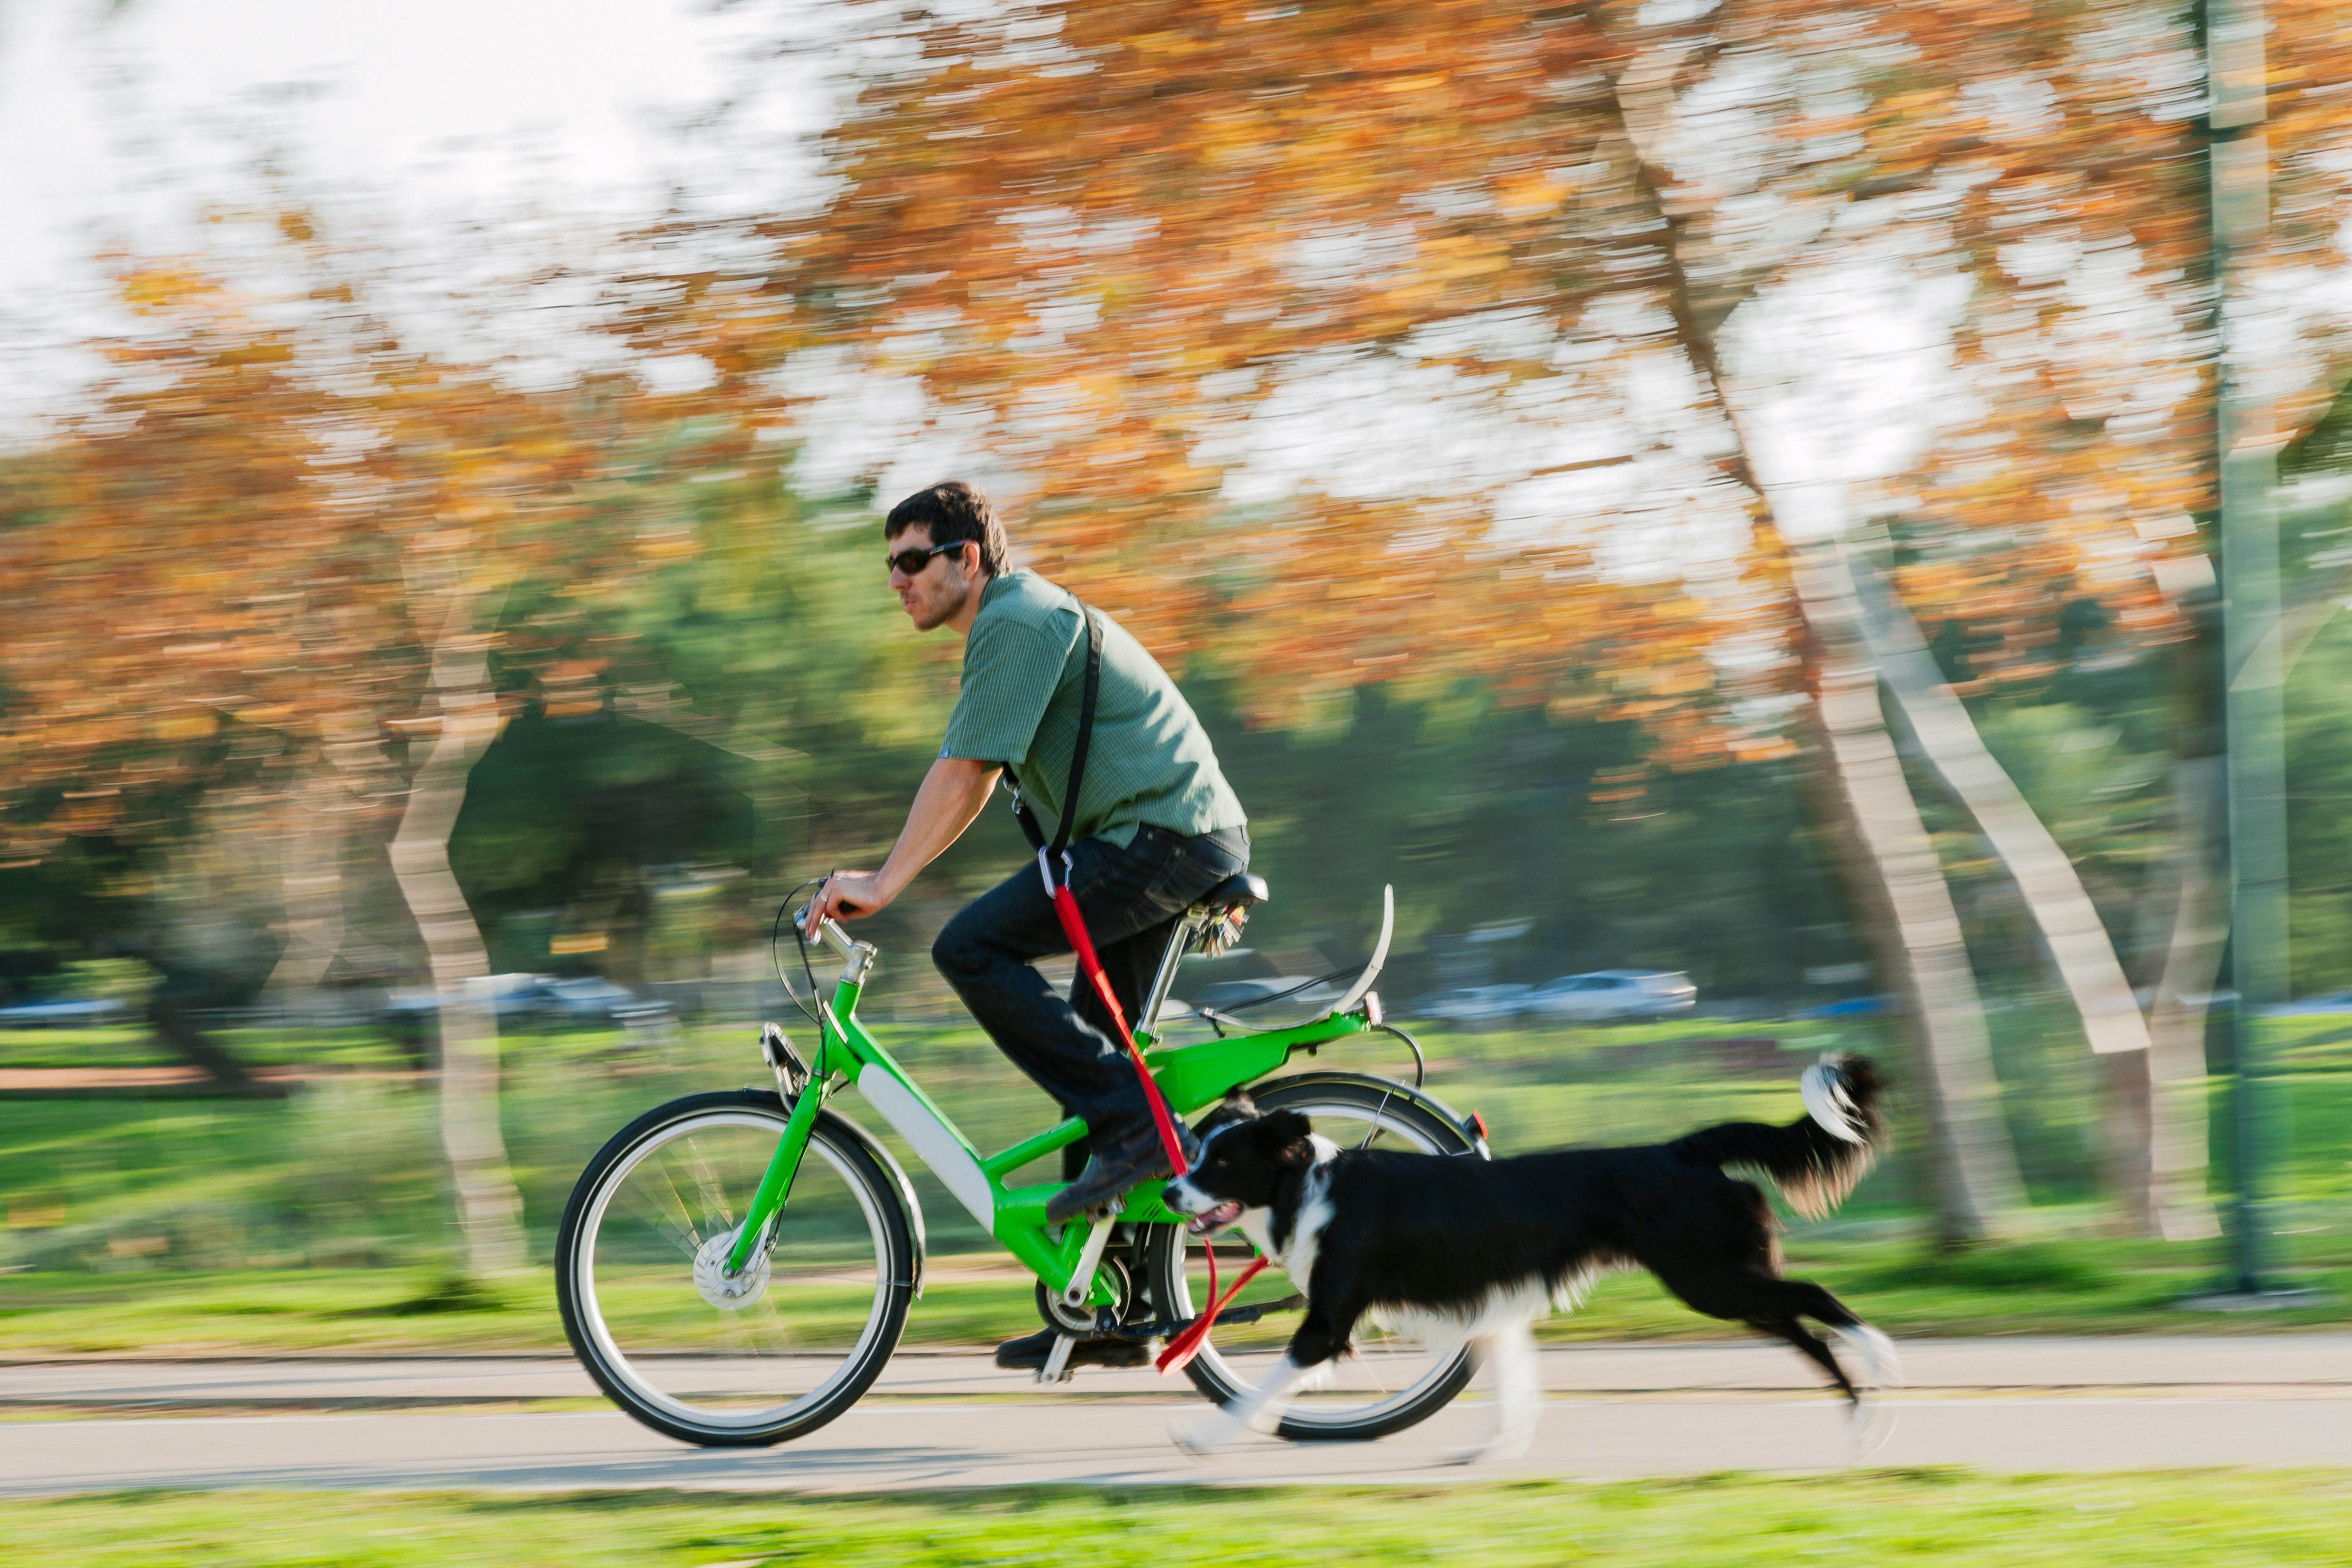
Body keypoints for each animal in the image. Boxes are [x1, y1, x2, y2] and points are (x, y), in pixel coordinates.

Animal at [1157, 1053, 1891, 1457]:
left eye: (1219, 1163)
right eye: (1196, 1154)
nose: (1166, 1192)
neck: (1310, 1188)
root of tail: (1681, 1149)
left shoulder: (1328, 1323)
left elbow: (1263, 1386)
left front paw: (1203, 1440)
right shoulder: (1486, 1308)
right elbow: (1512, 1385)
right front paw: (1492, 1452)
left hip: (1712, 1279)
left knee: (1815, 1301)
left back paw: (1884, 1362)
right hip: (1728, 1281)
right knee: (1805, 1331)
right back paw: (1864, 1424)